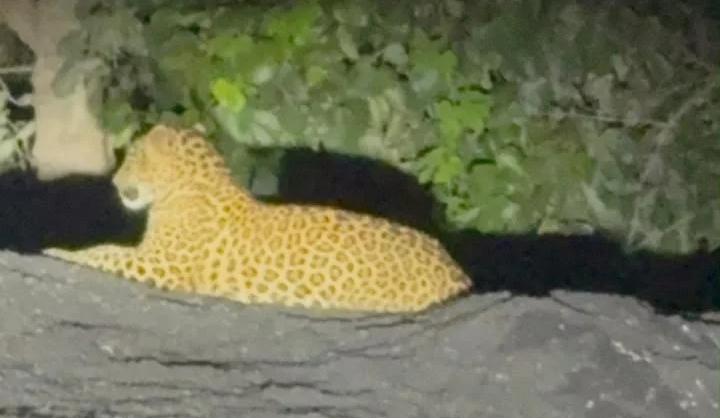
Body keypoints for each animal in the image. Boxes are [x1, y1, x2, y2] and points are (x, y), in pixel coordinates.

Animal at [44, 125, 472, 313]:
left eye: (133, 157)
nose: (115, 183)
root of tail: (456, 270)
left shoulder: (163, 266)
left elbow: (104, 252)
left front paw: (59, 253)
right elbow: (107, 250)